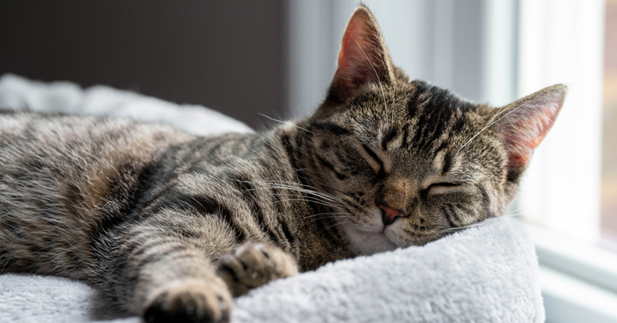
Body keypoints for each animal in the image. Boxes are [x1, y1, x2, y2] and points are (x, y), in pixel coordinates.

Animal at [0, 5, 564, 323]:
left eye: (443, 185)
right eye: (371, 154)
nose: (391, 210)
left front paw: (257, 269)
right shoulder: (170, 216)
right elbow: (171, 252)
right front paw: (193, 290)